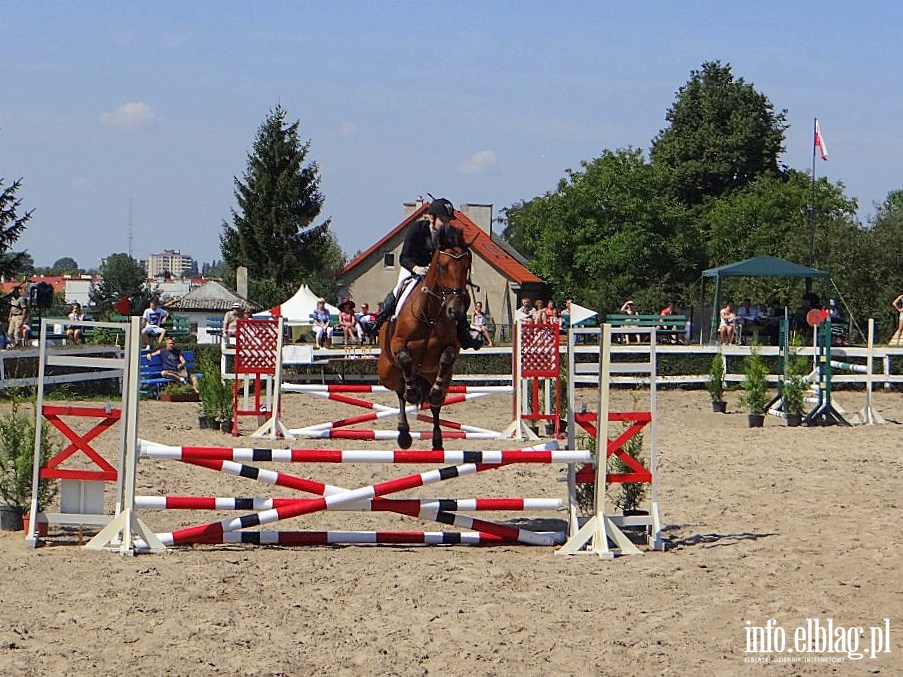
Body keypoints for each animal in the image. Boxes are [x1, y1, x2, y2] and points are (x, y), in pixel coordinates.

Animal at [376, 224, 474, 452]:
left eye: (466, 267)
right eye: (442, 266)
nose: (455, 311)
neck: (430, 314)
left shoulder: (451, 347)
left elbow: (446, 358)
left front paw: (433, 395)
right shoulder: (398, 343)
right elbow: (405, 358)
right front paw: (412, 394)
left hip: (440, 377)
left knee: (435, 404)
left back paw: (437, 441)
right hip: (387, 373)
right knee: (400, 391)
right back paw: (404, 434)